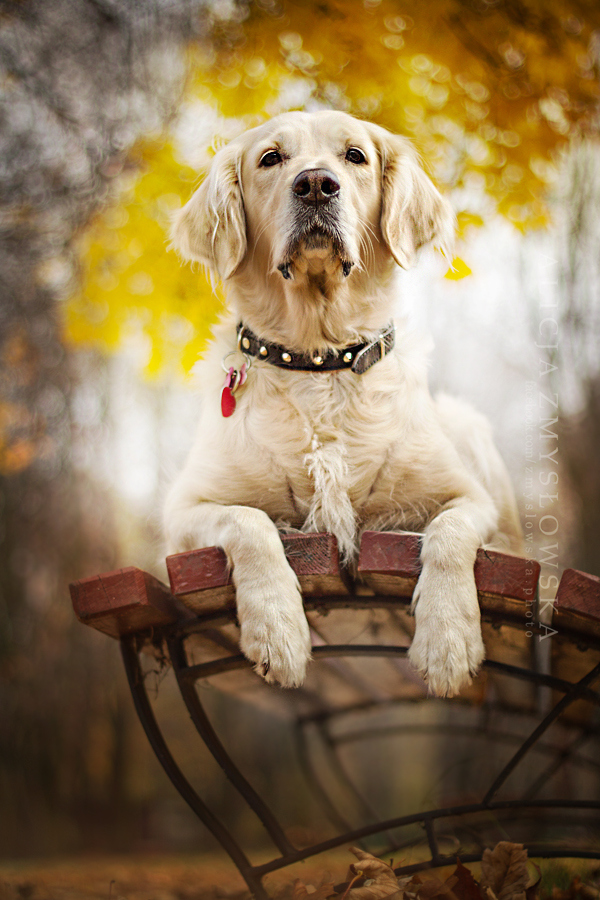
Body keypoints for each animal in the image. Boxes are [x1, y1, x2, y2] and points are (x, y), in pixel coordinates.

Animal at [163, 110, 520, 696]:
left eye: (355, 157)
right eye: (270, 158)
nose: (315, 184)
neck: (320, 361)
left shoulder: (470, 497)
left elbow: (448, 535)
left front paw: (447, 642)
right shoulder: (183, 515)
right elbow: (249, 522)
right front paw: (278, 632)